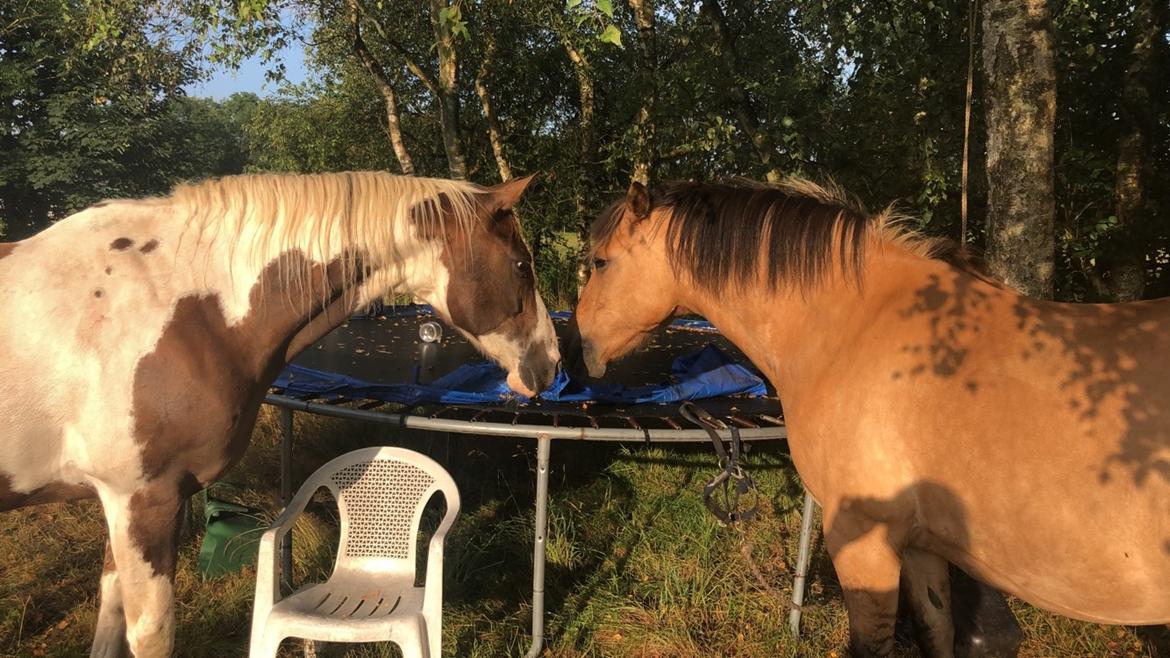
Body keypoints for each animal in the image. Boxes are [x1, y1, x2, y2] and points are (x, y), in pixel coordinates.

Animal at [0, 172, 561, 650]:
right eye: (521, 266)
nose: (551, 363)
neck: (184, 307)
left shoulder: (118, 504)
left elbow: (110, 619)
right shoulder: (143, 500)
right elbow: (149, 632)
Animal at [566, 176, 1170, 650]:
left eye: (600, 262)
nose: (578, 348)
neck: (855, 328)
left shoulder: (863, 544)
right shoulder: (922, 549)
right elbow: (936, 632)